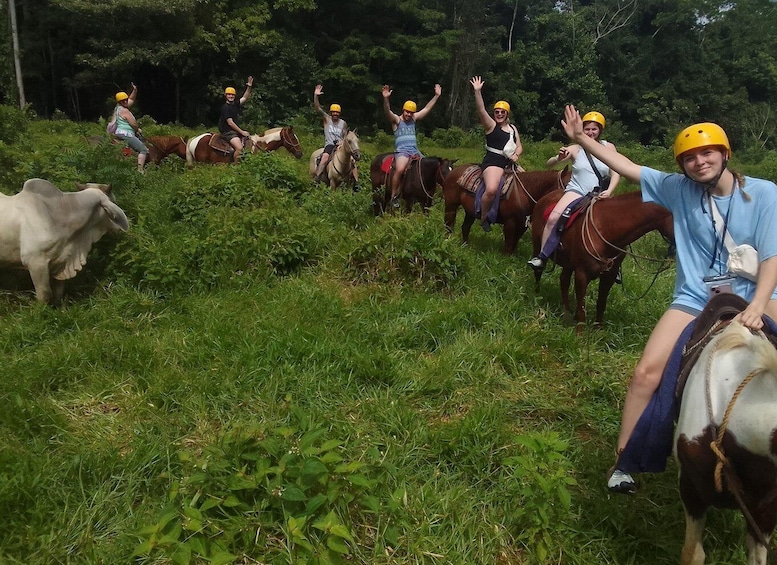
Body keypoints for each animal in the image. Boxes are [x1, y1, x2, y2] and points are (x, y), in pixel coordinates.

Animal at [0, 180, 129, 304]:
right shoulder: (35, 262)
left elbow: (58, 293)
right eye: (114, 201)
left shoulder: (60, 263)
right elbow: (45, 296)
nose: (119, 229)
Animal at [532, 189, 668, 328]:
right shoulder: (581, 274)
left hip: (568, 263)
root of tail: (546, 197)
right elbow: (582, 309)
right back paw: (537, 296)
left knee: (564, 280)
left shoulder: (609, 275)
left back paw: (567, 314)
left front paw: (598, 329)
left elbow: (601, 303)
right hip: (537, 246)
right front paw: (580, 332)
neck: (606, 228)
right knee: (538, 272)